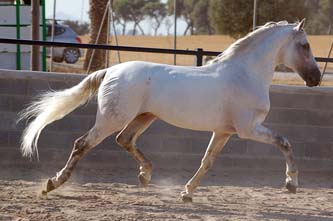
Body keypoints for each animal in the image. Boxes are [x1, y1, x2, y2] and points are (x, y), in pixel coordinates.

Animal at [18, 19, 320, 203]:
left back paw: (145, 175)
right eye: (305, 45)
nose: (316, 78)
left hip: (144, 117)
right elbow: (285, 143)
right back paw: (52, 184)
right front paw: (291, 183)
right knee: (83, 143)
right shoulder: (248, 129)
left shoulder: (224, 132)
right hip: (112, 118)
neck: (245, 74)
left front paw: (186, 194)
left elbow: (207, 162)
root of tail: (111, 71)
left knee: (124, 140)